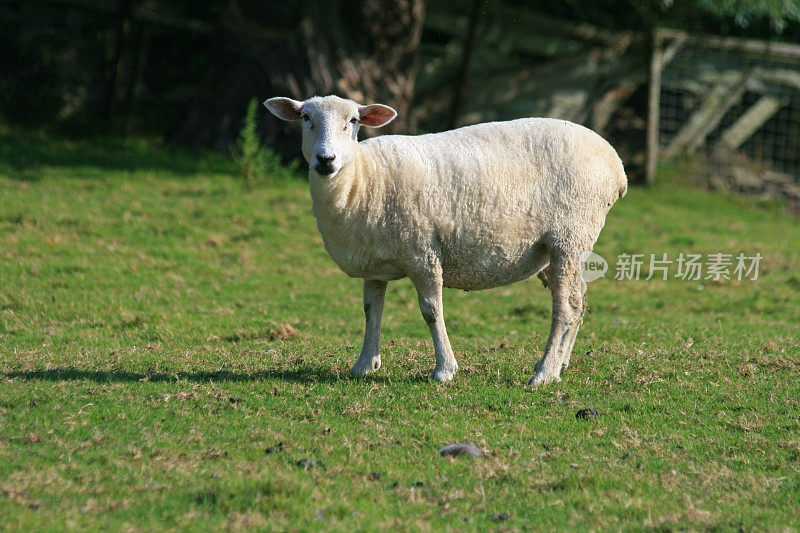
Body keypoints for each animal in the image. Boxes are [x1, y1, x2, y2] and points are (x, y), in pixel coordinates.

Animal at [262, 95, 624, 384]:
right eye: (306, 118)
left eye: (352, 122)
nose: (326, 160)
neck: (363, 178)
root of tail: (615, 164)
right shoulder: (375, 263)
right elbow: (371, 310)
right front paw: (364, 365)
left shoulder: (422, 252)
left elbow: (431, 312)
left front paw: (444, 370)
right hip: (557, 248)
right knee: (579, 301)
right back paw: (561, 364)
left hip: (571, 234)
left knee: (566, 306)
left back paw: (544, 373)